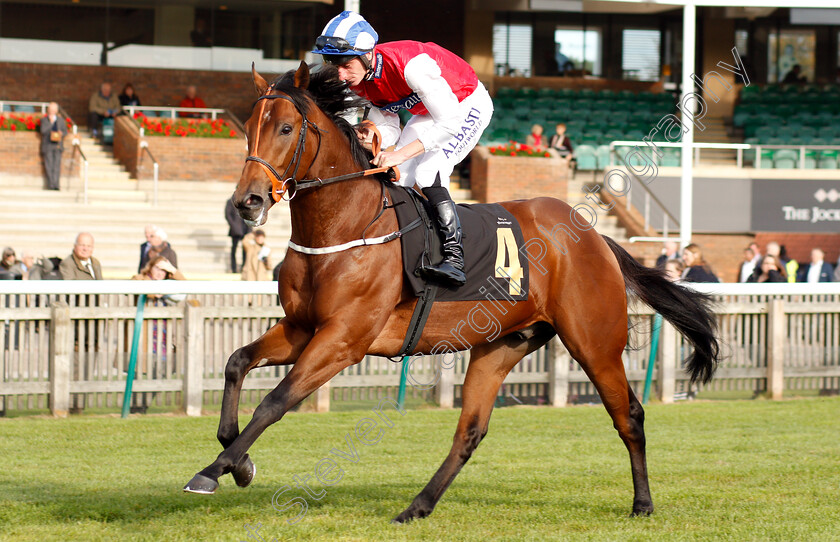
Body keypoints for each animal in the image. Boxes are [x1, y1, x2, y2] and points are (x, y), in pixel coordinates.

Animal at [185, 61, 720, 524]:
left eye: (285, 129)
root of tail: (595, 237)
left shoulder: (343, 339)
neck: (345, 225)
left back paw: (643, 504)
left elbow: (275, 401)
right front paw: (237, 460)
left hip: (594, 341)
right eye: (249, 126)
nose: (247, 200)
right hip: (502, 345)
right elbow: (235, 362)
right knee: (470, 431)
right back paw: (416, 506)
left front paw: (213, 472)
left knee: (628, 414)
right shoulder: (302, 328)